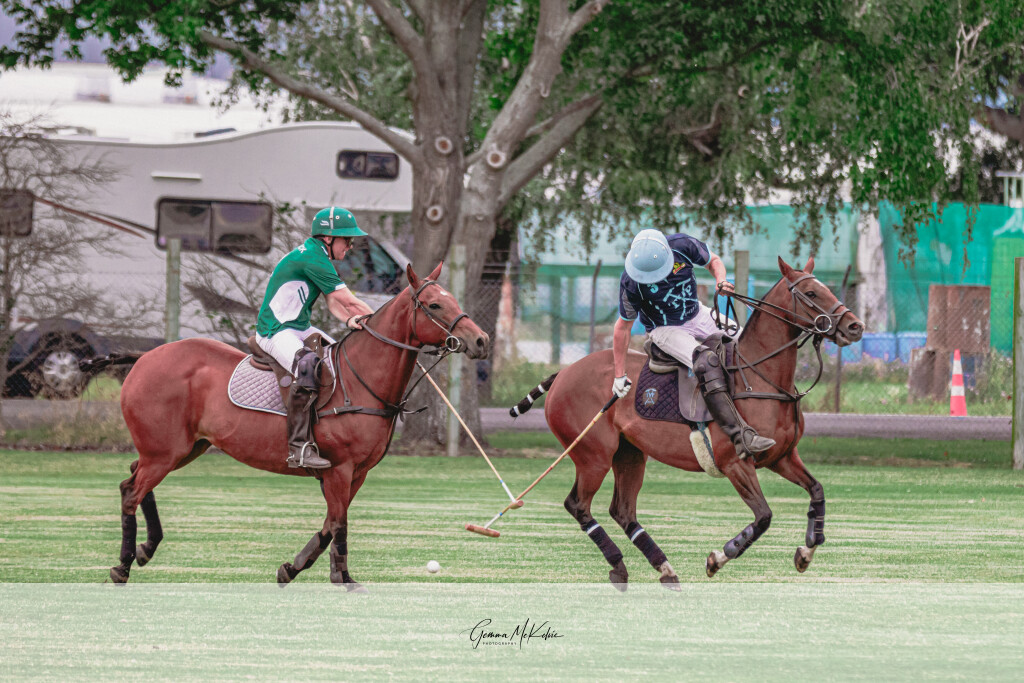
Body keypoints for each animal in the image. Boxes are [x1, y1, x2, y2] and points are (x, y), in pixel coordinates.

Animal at [109, 262, 489, 589]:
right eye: (435, 304)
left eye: (454, 300)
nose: (481, 341)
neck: (362, 379)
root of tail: (143, 358)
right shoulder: (340, 467)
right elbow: (339, 522)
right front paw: (343, 578)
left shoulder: (358, 472)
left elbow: (329, 524)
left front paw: (290, 569)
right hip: (165, 451)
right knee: (131, 491)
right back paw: (122, 566)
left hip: (184, 447)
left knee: (132, 476)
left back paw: (145, 550)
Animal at [511, 256, 864, 588]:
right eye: (811, 293)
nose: (855, 326)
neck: (760, 377)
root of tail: (563, 373)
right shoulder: (736, 462)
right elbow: (764, 516)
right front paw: (719, 557)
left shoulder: (782, 457)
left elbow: (817, 491)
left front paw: (806, 551)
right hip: (592, 455)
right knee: (578, 505)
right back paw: (619, 564)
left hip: (630, 453)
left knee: (622, 510)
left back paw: (664, 568)